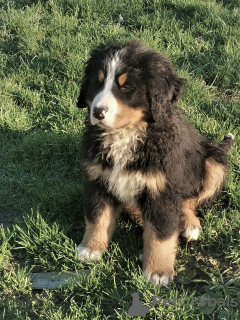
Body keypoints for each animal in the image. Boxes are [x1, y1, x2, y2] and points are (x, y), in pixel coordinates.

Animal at [76, 39, 233, 284]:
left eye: (126, 87)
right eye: (97, 82)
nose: (98, 112)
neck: (127, 134)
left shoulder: (163, 189)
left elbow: (161, 233)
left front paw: (158, 271)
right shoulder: (98, 178)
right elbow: (97, 216)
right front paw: (91, 248)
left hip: (213, 162)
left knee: (190, 202)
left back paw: (189, 224)